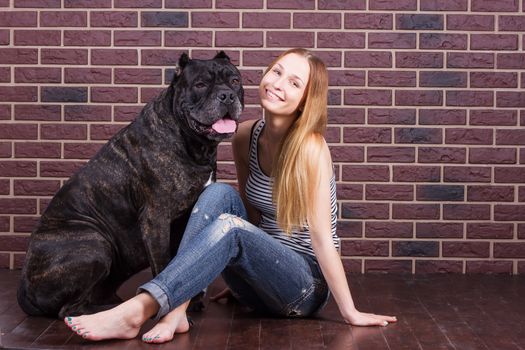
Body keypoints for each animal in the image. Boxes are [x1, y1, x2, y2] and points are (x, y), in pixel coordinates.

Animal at [16, 50, 244, 318]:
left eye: (235, 81)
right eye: (200, 85)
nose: (226, 95)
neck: (192, 143)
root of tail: (24, 289)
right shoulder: (156, 218)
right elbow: (164, 263)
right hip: (95, 244)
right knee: (70, 309)